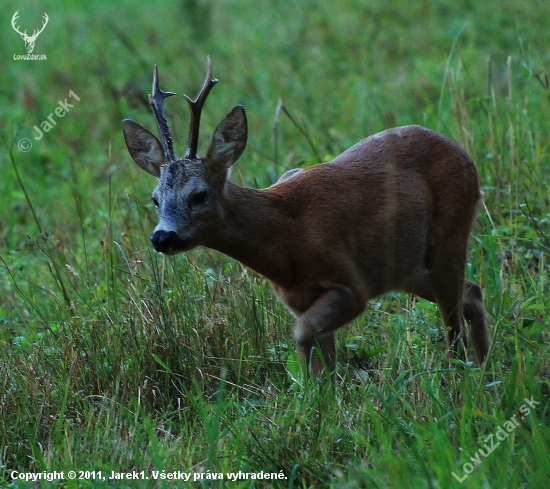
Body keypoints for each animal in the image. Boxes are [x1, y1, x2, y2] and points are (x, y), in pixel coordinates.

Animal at [123, 57, 490, 378]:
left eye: (199, 195)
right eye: (155, 199)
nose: (162, 237)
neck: (286, 240)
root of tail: (465, 156)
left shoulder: (350, 282)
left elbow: (302, 335)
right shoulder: (301, 298)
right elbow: (321, 361)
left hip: (449, 233)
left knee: (454, 321)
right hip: (407, 266)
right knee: (472, 293)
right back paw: (485, 366)